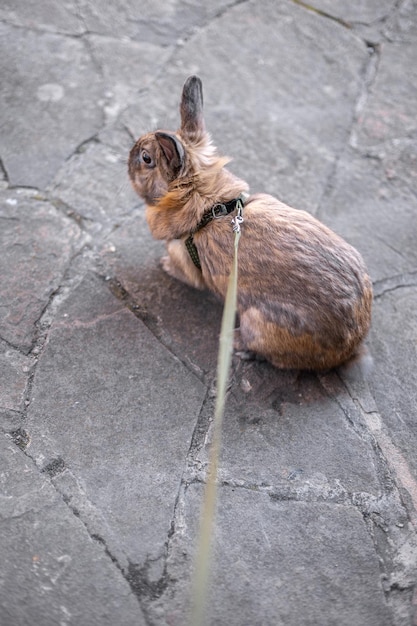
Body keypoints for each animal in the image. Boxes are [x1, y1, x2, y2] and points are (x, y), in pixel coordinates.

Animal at [128, 75, 372, 368]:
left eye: (146, 158)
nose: (128, 160)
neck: (205, 204)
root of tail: (350, 345)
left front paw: (164, 264)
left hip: (258, 322)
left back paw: (235, 342)